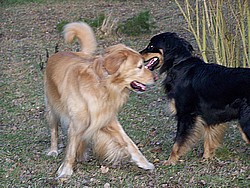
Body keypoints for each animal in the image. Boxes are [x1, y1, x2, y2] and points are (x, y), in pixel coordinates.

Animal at [44, 22, 155, 179]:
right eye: (140, 66)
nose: (155, 78)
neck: (103, 85)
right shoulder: (77, 122)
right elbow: (70, 149)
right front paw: (65, 170)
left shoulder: (107, 118)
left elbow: (129, 142)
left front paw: (144, 163)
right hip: (51, 108)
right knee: (54, 130)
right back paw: (53, 150)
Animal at [141, 32, 250, 164]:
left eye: (151, 46)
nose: (138, 54)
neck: (179, 63)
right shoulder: (208, 115)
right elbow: (208, 139)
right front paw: (206, 158)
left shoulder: (186, 114)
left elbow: (177, 142)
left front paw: (171, 161)